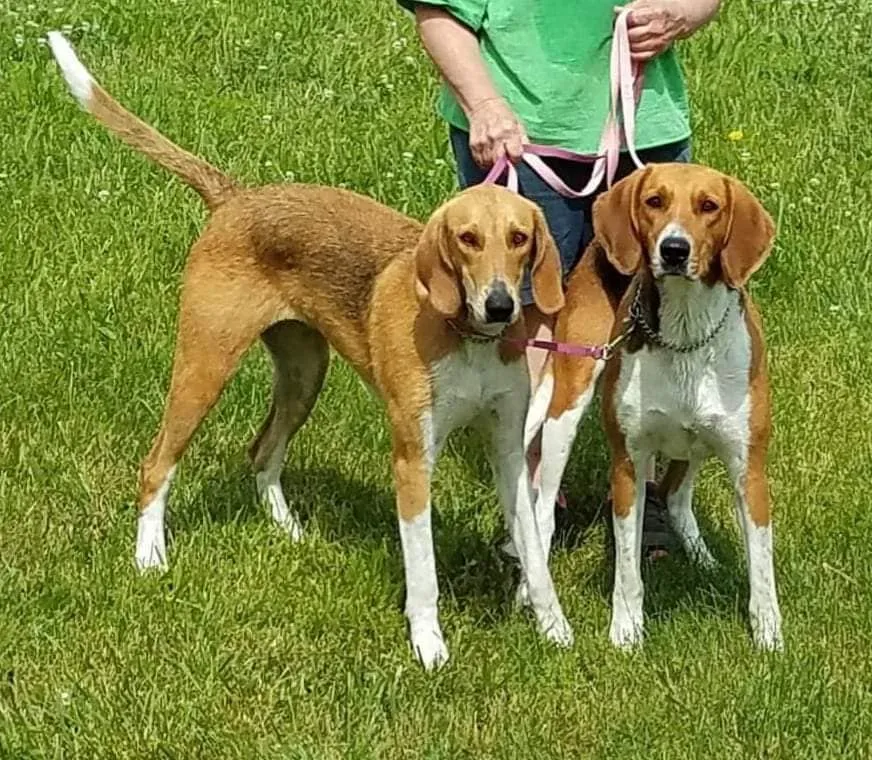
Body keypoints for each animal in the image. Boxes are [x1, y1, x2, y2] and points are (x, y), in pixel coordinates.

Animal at [49, 32, 572, 668]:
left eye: (520, 238)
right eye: (467, 239)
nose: (499, 305)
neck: (468, 340)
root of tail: (235, 198)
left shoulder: (507, 448)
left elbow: (536, 555)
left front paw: (554, 628)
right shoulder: (413, 457)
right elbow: (422, 569)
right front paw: (428, 644)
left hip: (305, 372)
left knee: (261, 451)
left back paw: (287, 528)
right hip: (205, 365)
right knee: (157, 465)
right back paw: (150, 557)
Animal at [524, 163, 784, 652]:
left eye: (709, 206)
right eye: (655, 201)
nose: (674, 249)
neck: (686, 332)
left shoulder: (749, 468)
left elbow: (762, 568)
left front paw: (769, 637)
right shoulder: (627, 465)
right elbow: (627, 570)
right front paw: (626, 631)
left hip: (698, 442)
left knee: (676, 496)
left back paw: (702, 558)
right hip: (565, 408)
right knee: (542, 510)